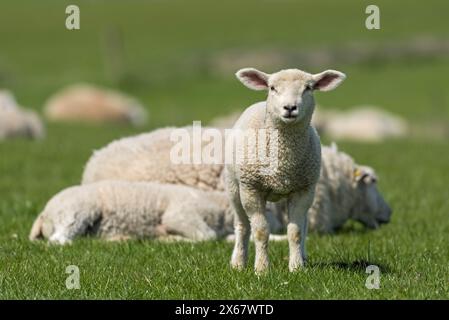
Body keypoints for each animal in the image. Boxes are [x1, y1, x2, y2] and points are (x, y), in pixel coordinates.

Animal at [226, 67, 344, 272]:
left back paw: (303, 257)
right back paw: (238, 262)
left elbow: (295, 231)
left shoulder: (303, 190)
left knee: (304, 225)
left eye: (308, 88)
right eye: (272, 88)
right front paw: (262, 269)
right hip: (235, 187)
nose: (289, 107)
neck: (283, 162)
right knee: (242, 225)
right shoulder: (251, 188)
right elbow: (260, 231)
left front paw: (296, 267)